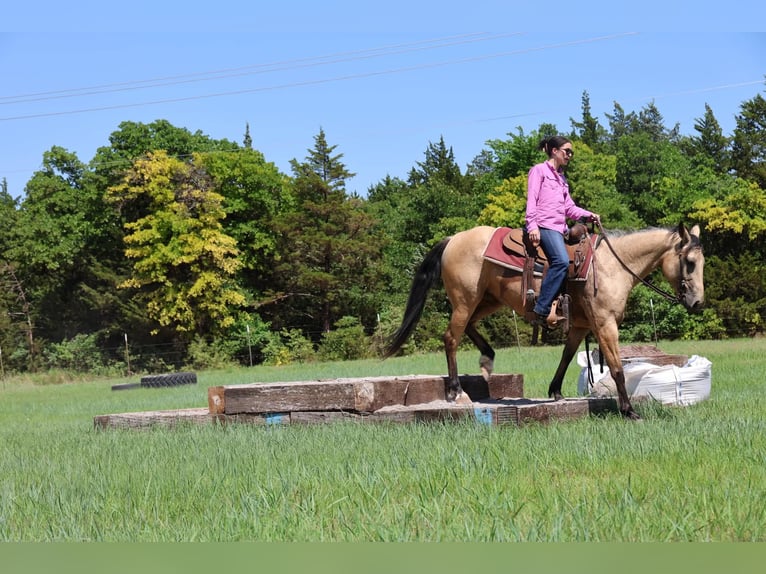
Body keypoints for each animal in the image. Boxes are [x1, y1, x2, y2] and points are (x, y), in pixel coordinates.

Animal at [384, 223, 705, 420]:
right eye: (689, 263)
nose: (698, 303)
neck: (611, 266)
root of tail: (454, 239)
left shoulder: (580, 326)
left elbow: (566, 356)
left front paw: (555, 391)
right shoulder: (604, 324)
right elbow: (616, 369)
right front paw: (628, 411)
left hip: (487, 301)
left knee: (468, 329)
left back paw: (487, 359)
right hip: (465, 300)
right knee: (451, 337)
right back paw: (455, 390)